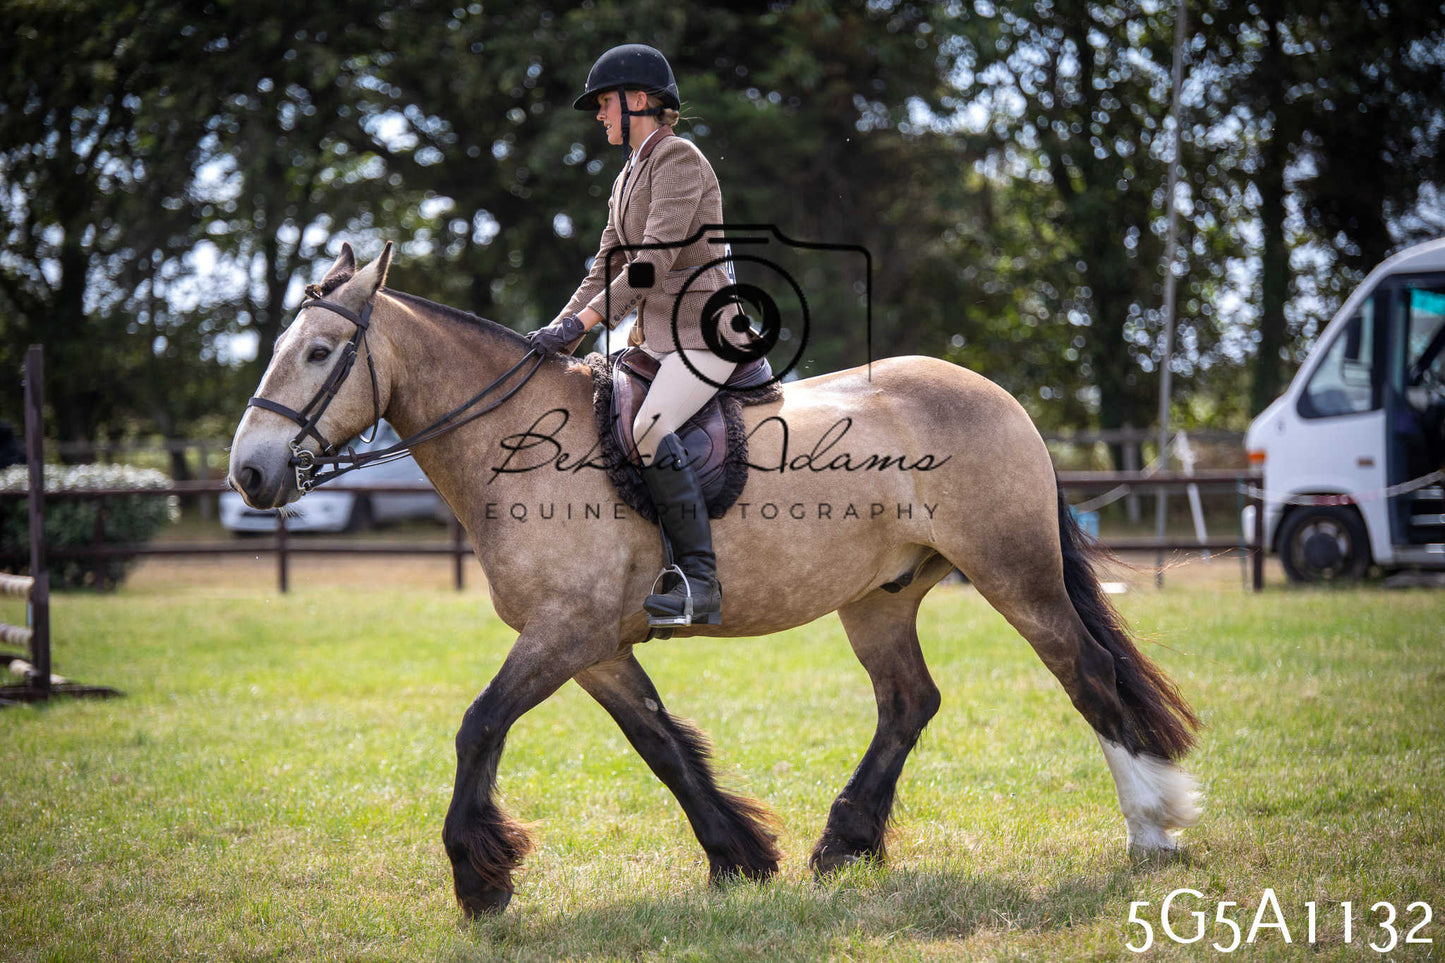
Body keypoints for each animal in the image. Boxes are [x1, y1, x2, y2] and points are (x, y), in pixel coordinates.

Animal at [228, 242, 1201, 917]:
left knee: (1086, 674)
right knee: (908, 702)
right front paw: (738, 855)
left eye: (319, 352)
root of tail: (997, 395)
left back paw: (1149, 827)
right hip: (877, 599)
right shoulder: (592, 646)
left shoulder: (564, 632)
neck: (520, 442)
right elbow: (660, 744)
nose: (250, 473)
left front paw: (479, 879)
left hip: (1013, 572)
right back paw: (842, 843)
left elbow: (479, 726)